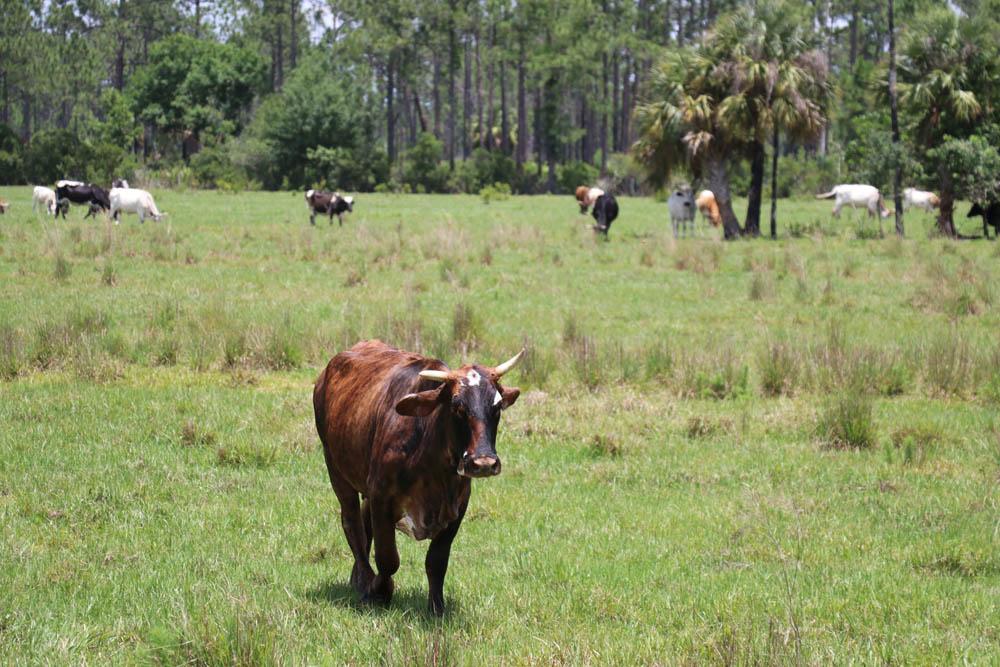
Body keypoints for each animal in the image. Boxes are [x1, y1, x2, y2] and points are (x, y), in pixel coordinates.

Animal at [314, 342, 524, 620]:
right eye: (457, 406)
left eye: (497, 407)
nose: (483, 463)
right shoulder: (382, 497)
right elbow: (388, 558)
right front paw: (379, 592)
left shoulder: (458, 506)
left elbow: (436, 561)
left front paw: (437, 607)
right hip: (337, 471)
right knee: (352, 524)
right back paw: (364, 581)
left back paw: (357, 578)